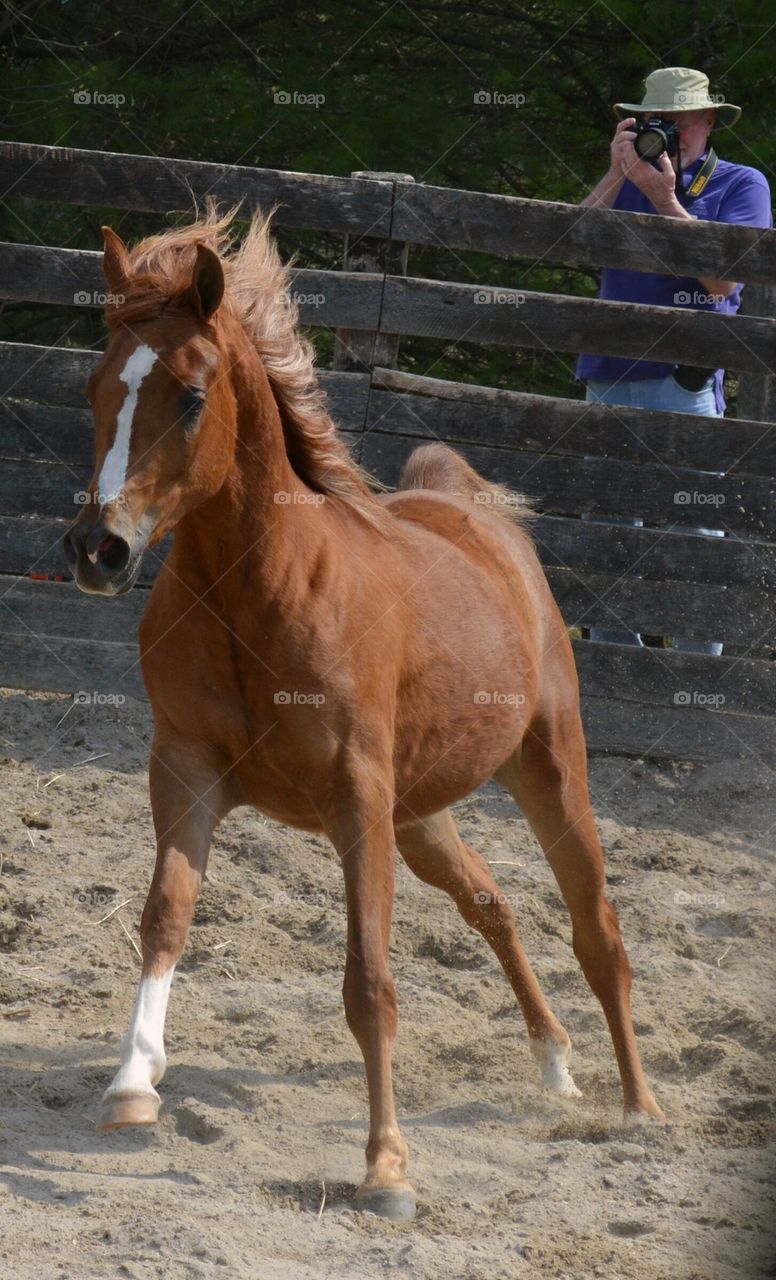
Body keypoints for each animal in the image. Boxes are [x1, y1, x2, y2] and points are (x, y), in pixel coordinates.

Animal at [63, 206, 662, 1221]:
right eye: (101, 385)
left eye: (189, 395)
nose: (97, 550)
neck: (258, 596)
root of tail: (476, 517)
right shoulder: (186, 770)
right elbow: (166, 915)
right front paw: (132, 1085)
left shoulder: (354, 797)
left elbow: (371, 982)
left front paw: (386, 1169)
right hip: (417, 815)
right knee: (492, 903)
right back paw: (554, 1064)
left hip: (545, 771)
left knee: (599, 932)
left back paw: (637, 1107)